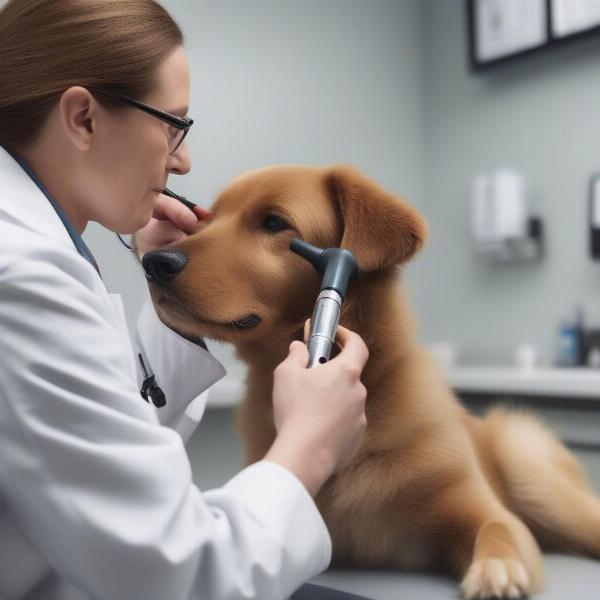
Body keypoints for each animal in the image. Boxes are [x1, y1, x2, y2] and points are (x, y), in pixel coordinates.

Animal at [144, 165, 600, 600]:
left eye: (274, 223)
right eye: (207, 219)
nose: (155, 261)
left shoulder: (479, 508)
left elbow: (499, 529)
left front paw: (496, 570)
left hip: (530, 467)